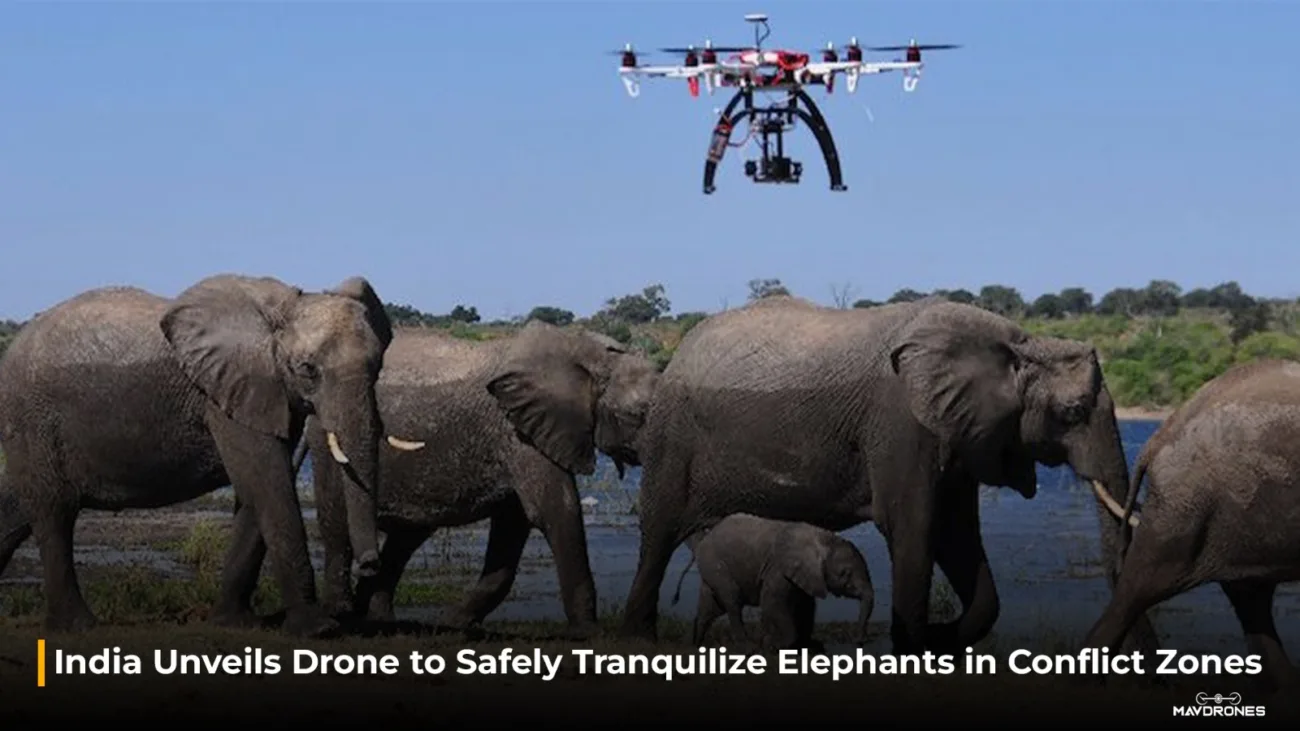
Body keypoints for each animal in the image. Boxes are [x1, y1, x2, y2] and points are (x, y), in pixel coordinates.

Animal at [0, 273, 426, 636]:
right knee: (54, 513)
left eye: (379, 366)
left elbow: (257, 491)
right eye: (307, 369)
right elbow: (269, 485)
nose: (369, 564)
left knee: (19, 510)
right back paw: (77, 627)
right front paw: (317, 629)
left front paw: (235, 622)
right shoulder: (225, 395)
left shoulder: (264, 393)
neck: (280, 312)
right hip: (31, 420)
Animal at [223, 319, 660, 633]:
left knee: (407, 537)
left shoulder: (521, 434)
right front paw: (589, 634)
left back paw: (379, 618)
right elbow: (555, 511)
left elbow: (514, 528)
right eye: (637, 415)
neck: (586, 352)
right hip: (329, 441)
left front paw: (453, 624)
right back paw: (344, 614)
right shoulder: (519, 434)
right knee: (338, 528)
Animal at [670, 512, 874, 651]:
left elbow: (807, 606)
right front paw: (772, 645)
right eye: (844, 573)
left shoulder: (804, 574)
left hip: (711, 568)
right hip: (716, 564)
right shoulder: (778, 568)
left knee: (710, 608)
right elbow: (772, 602)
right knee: (732, 601)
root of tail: (703, 540)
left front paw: (807, 645)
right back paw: (748, 648)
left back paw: (693, 646)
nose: (860, 640)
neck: (822, 537)